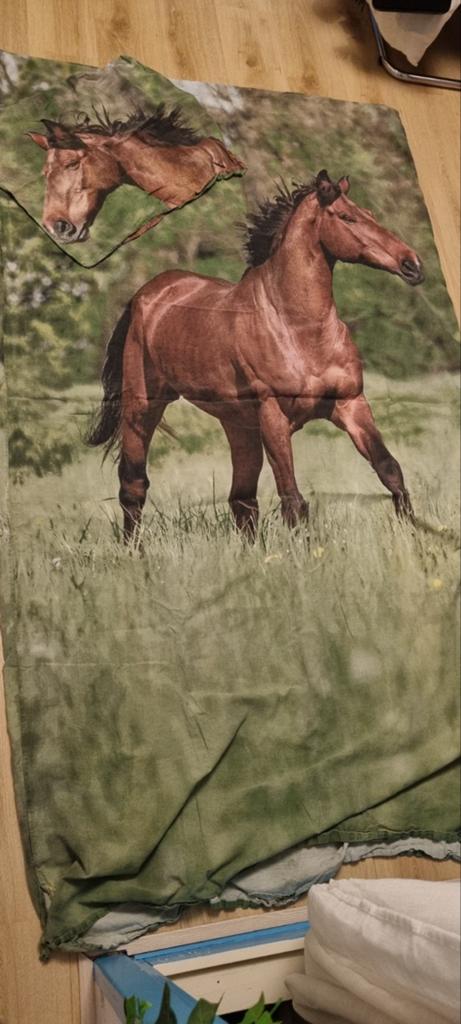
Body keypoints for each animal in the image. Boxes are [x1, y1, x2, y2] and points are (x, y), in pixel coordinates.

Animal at [87, 169, 424, 541]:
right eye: (347, 217)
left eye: (371, 214)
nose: (412, 265)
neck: (298, 328)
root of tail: (144, 295)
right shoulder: (273, 414)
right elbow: (293, 499)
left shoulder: (351, 404)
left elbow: (390, 472)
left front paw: (417, 537)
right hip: (143, 407)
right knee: (133, 486)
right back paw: (134, 550)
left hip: (238, 425)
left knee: (242, 500)